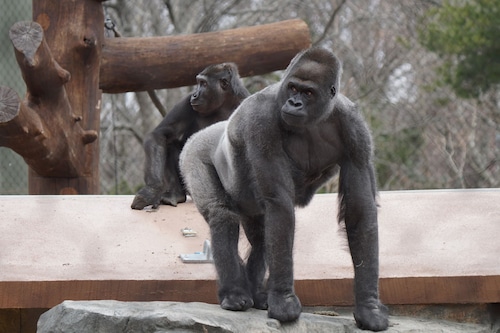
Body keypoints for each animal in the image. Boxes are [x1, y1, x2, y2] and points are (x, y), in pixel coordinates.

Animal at [130, 61, 249, 210]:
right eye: (198, 82)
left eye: (204, 84)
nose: (195, 94)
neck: (223, 103)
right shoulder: (186, 102)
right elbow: (159, 135)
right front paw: (152, 190)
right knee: (171, 144)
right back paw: (176, 194)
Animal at [178, 46, 388, 330]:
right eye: (293, 89)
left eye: (308, 93)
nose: (294, 104)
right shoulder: (261, 119)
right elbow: (279, 203)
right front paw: (284, 300)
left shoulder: (355, 129)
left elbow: (360, 209)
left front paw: (368, 306)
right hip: (193, 153)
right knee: (222, 215)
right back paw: (234, 293)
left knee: (261, 236)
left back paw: (256, 291)